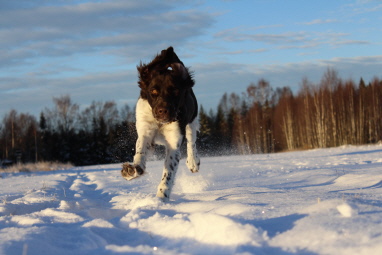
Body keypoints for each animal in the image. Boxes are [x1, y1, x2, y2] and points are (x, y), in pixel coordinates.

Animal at [121, 46, 200, 200]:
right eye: (153, 91)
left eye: (175, 91)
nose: (162, 111)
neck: (160, 123)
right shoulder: (145, 131)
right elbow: (140, 152)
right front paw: (132, 170)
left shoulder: (174, 141)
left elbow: (168, 174)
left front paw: (161, 198)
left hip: (193, 117)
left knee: (191, 140)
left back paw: (193, 162)